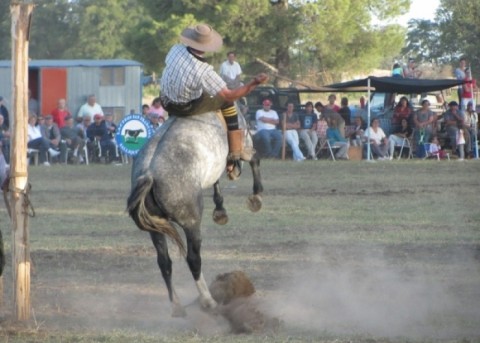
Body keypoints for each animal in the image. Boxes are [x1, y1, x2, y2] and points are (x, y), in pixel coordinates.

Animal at [127, 110, 262, 318]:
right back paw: (208, 301)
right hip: (191, 223)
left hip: (155, 230)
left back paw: (177, 306)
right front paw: (256, 196)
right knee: (193, 259)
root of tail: (149, 174)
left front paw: (220, 210)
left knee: (164, 262)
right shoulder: (245, 145)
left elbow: (217, 182)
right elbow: (255, 158)